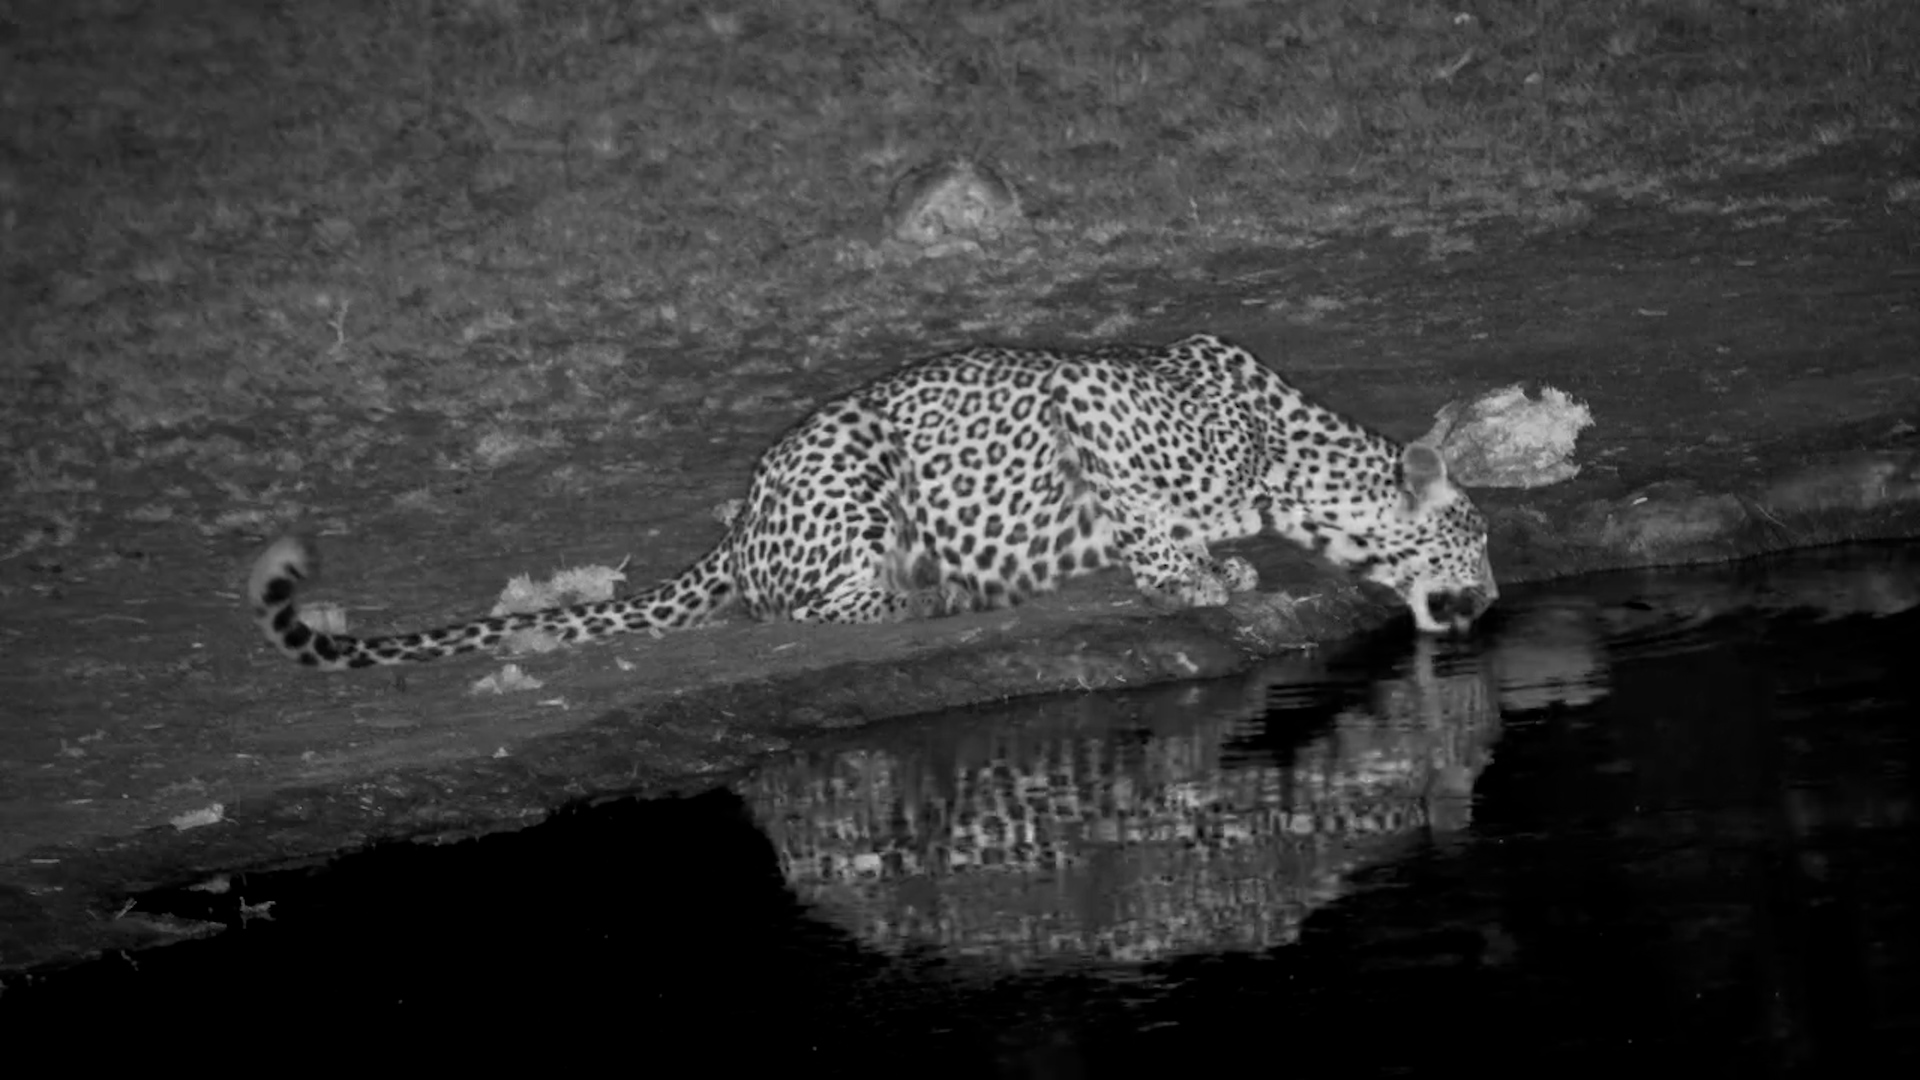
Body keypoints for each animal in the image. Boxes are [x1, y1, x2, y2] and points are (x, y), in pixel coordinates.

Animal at [249, 333, 1497, 671]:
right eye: (1477, 535)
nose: (1491, 597)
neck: (1290, 470)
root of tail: (741, 519)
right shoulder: (1083, 405)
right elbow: (1147, 522)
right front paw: (1187, 573)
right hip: (853, 459)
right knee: (809, 607)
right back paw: (934, 594)